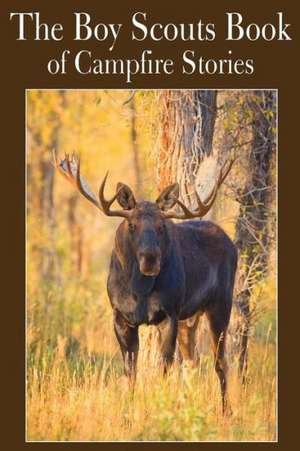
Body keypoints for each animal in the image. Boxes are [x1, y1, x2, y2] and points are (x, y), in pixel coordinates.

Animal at [53, 152, 237, 414]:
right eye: (132, 225)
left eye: (161, 226)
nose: (150, 259)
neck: (139, 291)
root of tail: (230, 242)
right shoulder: (121, 316)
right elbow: (130, 371)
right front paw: (128, 411)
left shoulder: (169, 314)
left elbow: (165, 367)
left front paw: (160, 407)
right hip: (190, 318)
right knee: (192, 361)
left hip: (220, 305)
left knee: (220, 362)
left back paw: (226, 412)